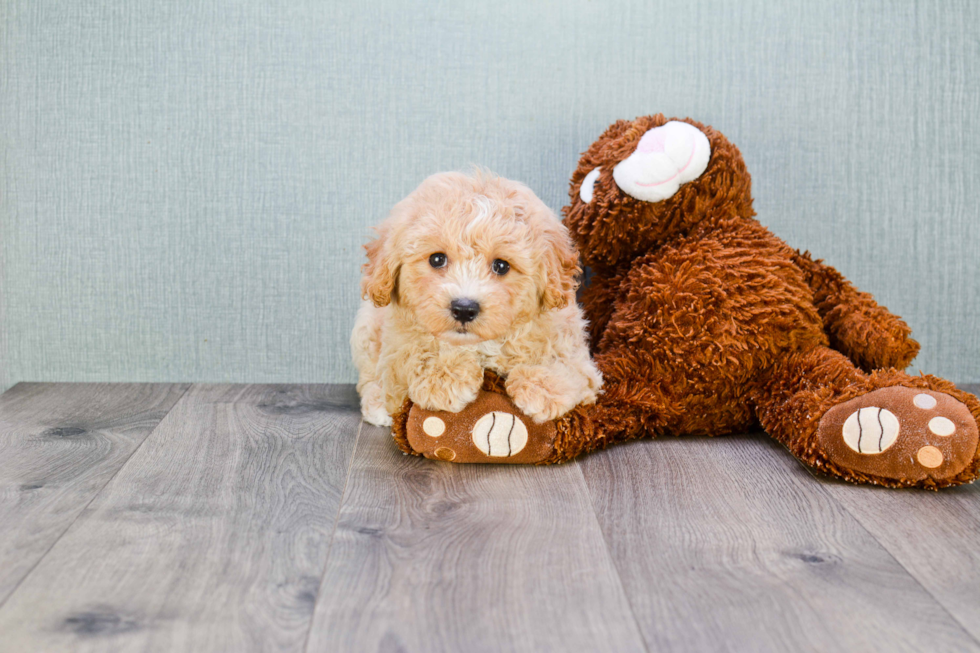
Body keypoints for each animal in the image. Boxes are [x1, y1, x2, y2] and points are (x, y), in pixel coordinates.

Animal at [348, 171, 600, 426]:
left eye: (501, 265)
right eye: (437, 259)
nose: (464, 309)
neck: (481, 344)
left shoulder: (577, 352)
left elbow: (567, 363)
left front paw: (541, 387)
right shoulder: (395, 349)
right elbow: (411, 356)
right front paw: (444, 378)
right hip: (366, 327)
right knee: (369, 378)